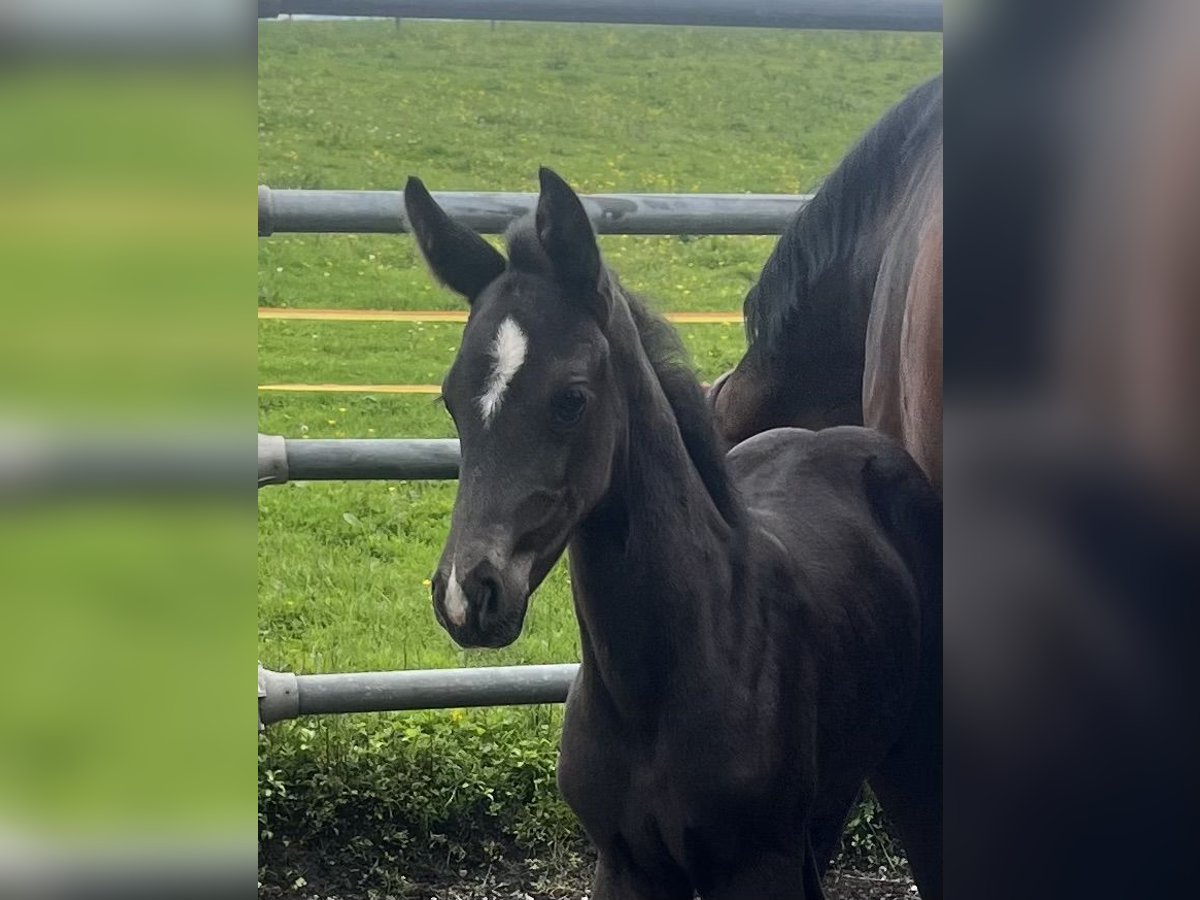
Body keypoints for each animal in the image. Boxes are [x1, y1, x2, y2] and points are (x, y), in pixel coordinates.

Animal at [405, 168, 945, 897]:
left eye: (571, 398)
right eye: (450, 399)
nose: (468, 594)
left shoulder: (755, 864)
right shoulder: (624, 861)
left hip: (910, 766)